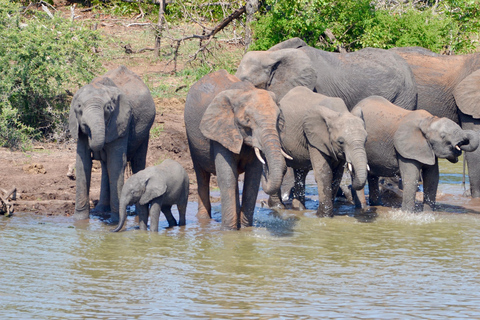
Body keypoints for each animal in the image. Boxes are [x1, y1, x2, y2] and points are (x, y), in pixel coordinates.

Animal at [68, 66, 156, 221]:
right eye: (78, 107)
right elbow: (83, 163)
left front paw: (116, 221)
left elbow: (116, 164)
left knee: (137, 162)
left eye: (108, 108)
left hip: (145, 130)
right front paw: (79, 221)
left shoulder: (121, 122)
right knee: (105, 166)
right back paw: (100, 210)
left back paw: (137, 213)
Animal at [184, 70, 288, 230]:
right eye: (247, 121)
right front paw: (229, 231)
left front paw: (245, 229)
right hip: (192, 140)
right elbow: (227, 177)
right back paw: (203, 220)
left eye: (278, 120)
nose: (267, 167)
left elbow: (252, 179)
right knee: (201, 175)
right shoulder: (220, 131)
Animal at [266, 86, 368, 216]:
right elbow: (324, 172)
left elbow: (337, 175)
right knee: (280, 167)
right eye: (341, 142)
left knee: (300, 172)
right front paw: (323, 215)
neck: (339, 112)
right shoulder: (314, 138)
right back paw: (278, 207)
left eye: (366, 140)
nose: (350, 187)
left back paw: (298, 209)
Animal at [350, 96, 478, 211]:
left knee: (372, 175)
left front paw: (428, 214)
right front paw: (407, 214)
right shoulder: (405, 150)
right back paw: (362, 207)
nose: (461, 143)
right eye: (443, 136)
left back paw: (377, 204)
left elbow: (432, 177)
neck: (428, 121)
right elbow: (411, 177)